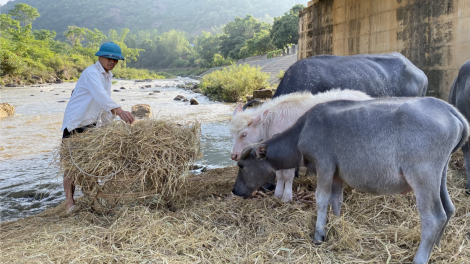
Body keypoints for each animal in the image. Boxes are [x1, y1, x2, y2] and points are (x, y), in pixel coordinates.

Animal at [228, 89, 370, 202]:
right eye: (232, 134)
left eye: (244, 134)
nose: (234, 155)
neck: (272, 121)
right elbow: (279, 174)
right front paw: (277, 194)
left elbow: (287, 175)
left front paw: (287, 197)